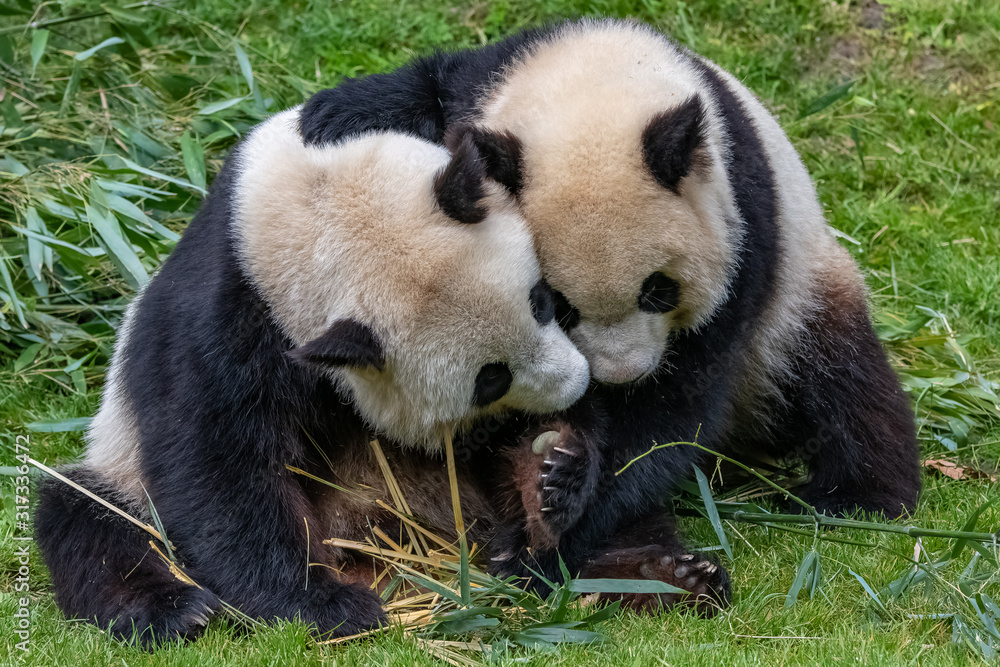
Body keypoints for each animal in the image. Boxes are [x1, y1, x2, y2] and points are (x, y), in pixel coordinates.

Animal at [33, 107, 593, 646]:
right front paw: (326, 606)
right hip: (121, 469)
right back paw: (174, 611)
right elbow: (216, 468)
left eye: (540, 301)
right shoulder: (220, 329)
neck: (309, 209)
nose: (575, 385)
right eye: (490, 380)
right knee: (88, 518)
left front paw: (552, 474)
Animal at [299, 17, 920, 607]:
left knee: (842, 380)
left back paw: (857, 496)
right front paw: (330, 117)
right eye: (559, 304)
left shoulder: (745, 231)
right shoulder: (481, 84)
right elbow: (423, 90)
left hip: (797, 297)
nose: (622, 376)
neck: (596, 83)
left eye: (658, 291)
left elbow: (666, 418)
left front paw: (541, 531)